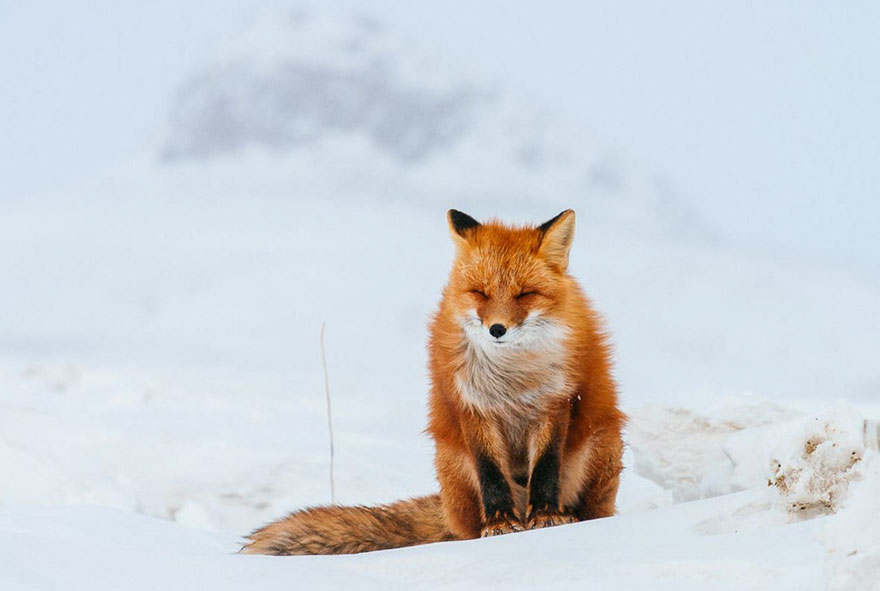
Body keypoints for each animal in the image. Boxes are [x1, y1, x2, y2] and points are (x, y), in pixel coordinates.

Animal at [241, 209, 624, 555]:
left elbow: (545, 467)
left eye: (525, 294)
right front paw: (499, 524)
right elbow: (491, 474)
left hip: (598, 445)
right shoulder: (471, 407)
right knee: (467, 528)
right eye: (480, 293)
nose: (497, 329)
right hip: (452, 462)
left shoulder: (554, 402)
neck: (512, 377)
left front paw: (546, 518)